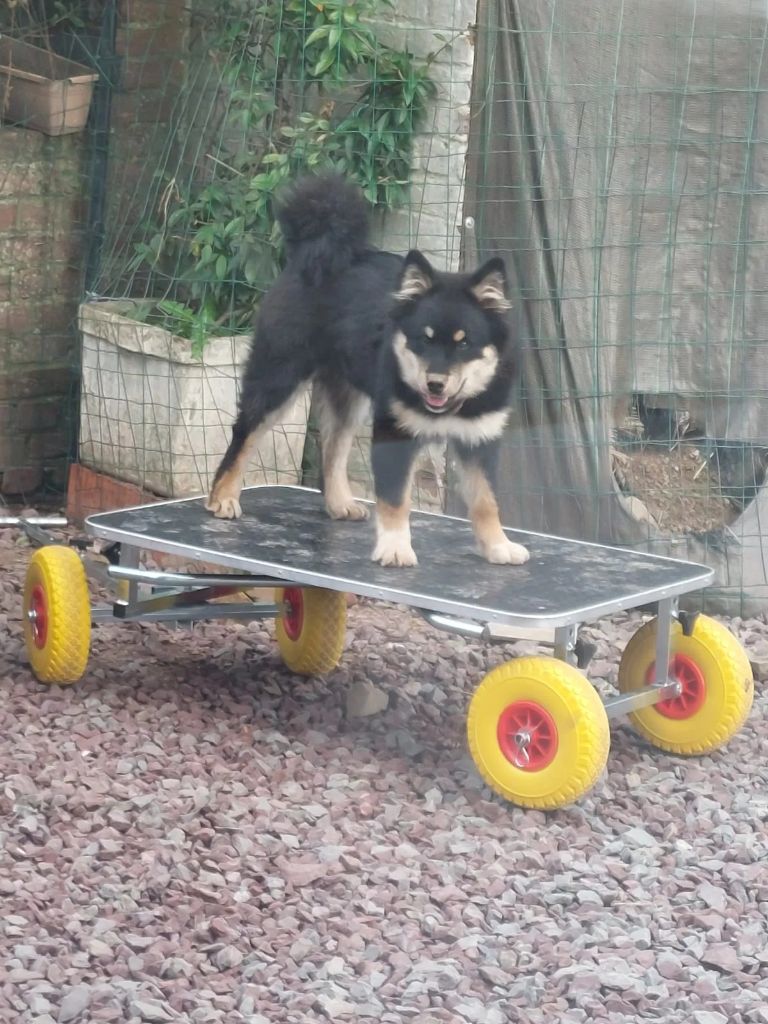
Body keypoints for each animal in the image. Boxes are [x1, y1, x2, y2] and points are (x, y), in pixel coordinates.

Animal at [205, 172, 528, 569]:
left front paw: (498, 546)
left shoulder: (479, 439)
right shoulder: (394, 433)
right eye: (423, 340)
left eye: (464, 343)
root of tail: (318, 252)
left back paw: (339, 503)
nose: (434, 385)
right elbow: (395, 499)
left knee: (332, 448)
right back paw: (223, 496)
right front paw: (395, 548)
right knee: (245, 434)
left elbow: (486, 501)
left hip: (349, 397)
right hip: (278, 378)